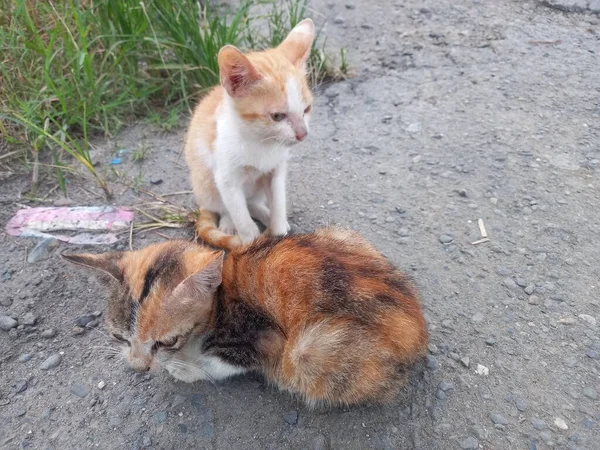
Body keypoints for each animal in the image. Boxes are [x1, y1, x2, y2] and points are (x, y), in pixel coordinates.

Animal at [62, 229, 426, 408]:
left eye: (168, 341)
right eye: (118, 337)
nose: (138, 368)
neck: (222, 295)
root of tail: (419, 332)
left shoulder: (263, 339)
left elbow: (221, 364)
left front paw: (185, 369)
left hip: (311, 351)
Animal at [185, 19, 316, 250]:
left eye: (306, 109)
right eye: (277, 116)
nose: (303, 134)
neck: (261, 141)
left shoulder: (276, 169)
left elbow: (278, 199)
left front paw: (278, 227)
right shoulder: (226, 178)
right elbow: (240, 215)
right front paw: (251, 241)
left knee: (252, 201)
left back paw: (264, 213)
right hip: (205, 183)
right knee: (226, 206)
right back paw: (228, 224)